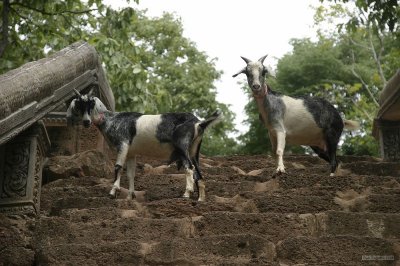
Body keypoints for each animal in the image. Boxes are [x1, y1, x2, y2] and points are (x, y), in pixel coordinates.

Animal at [67, 90, 220, 202]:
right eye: (79, 105)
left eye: (89, 104)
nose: (86, 122)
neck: (112, 120)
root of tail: (198, 123)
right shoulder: (131, 153)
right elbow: (131, 174)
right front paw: (130, 196)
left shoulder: (123, 144)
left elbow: (118, 167)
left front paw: (112, 192)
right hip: (193, 150)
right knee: (198, 172)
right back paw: (200, 199)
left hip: (182, 146)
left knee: (189, 168)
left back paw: (186, 194)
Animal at [231, 55, 360, 176]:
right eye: (247, 73)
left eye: (263, 72)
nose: (256, 86)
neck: (270, 102)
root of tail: (341, 119)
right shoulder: (271, 132)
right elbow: (273, 152)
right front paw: (276, 170)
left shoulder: (280, 130)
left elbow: (279, 150)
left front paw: (281, 170)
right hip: (318, 144)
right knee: (334, 160)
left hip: (332, 135)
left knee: (333, 160)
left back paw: (332, 175)